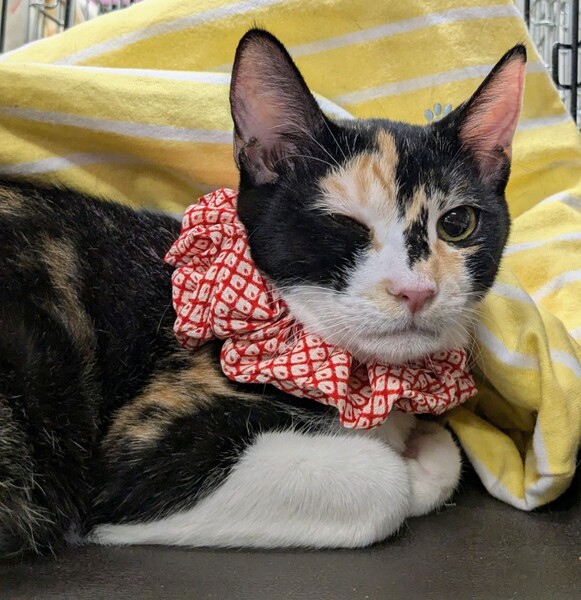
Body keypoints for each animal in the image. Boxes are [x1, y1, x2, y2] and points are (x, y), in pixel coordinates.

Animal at [0, 29, 524, 557]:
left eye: (457, 224)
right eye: (342, 223)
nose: (414, 291)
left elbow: (447, 452)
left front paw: (419, 441)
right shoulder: (141, 454)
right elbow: (385, 481)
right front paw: (404, 462)